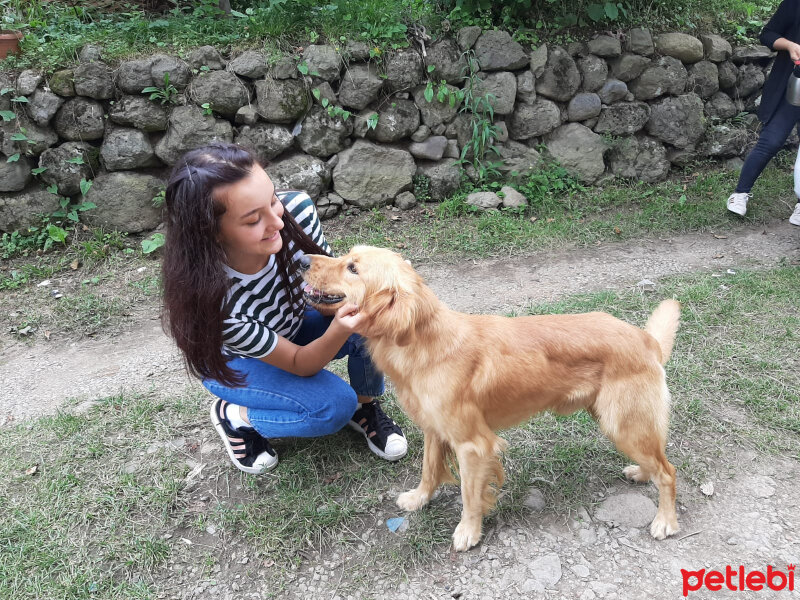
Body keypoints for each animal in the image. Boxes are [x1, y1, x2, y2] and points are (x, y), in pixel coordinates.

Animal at [300, 246, 680, 552]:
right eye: (346, 256)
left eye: (352, 267)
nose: (301, 259)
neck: (423, 342)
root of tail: (645, 339)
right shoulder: (434, 430)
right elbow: (429, 470)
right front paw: (420, 499)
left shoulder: (473, 445)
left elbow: (469, 495)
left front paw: (468, 532)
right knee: (655, 462)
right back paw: (641, 474)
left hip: (623, 423)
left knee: (668, 471)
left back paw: (665, 521)